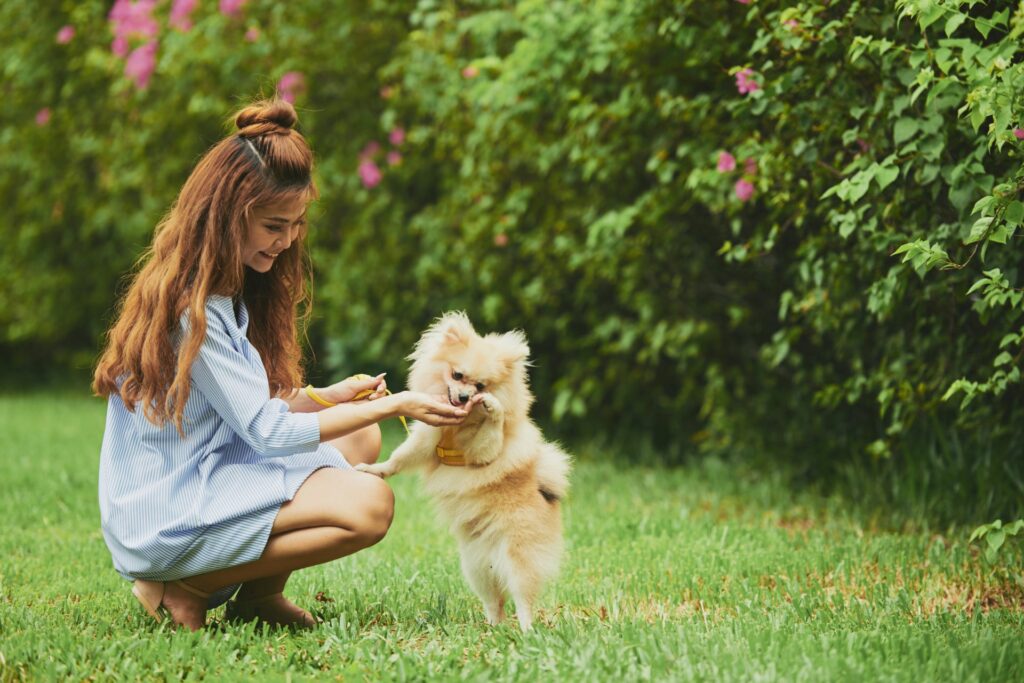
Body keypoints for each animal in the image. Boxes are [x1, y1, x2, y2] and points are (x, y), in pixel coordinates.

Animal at [356, 311, 573, 630]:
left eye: (481, 386)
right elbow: (399, 458)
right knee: (494, 601)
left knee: (522, 599)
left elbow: (491, 436)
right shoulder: (427, 438)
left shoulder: (482, 453)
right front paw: (376, 470)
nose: (462, 397)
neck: (456, 426)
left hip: (519, 557)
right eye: (457, 376)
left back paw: (527, 630)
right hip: (475, 566)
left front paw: (493, 409)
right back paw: (494, 627)